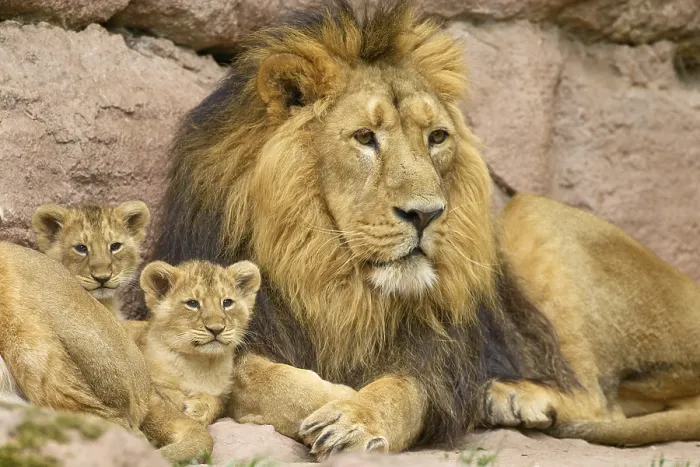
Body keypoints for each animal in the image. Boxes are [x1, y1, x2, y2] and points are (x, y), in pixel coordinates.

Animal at [128, 259, 261, 426]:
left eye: (227, 302)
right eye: (192, 303)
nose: (216, 329)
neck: (201, 363)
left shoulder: (224, 396)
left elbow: (218, 403)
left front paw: (199, 408)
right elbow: (164, 393)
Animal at [153, 0, 700, 458]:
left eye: (436, 137)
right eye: (365, 138)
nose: (427, 214)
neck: (331, 278)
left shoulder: (436, 359)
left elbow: (404, 393)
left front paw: (354, 414)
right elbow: (250, 374)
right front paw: (331, 394)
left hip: (529, 214)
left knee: (599, 401)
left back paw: (512, 397)